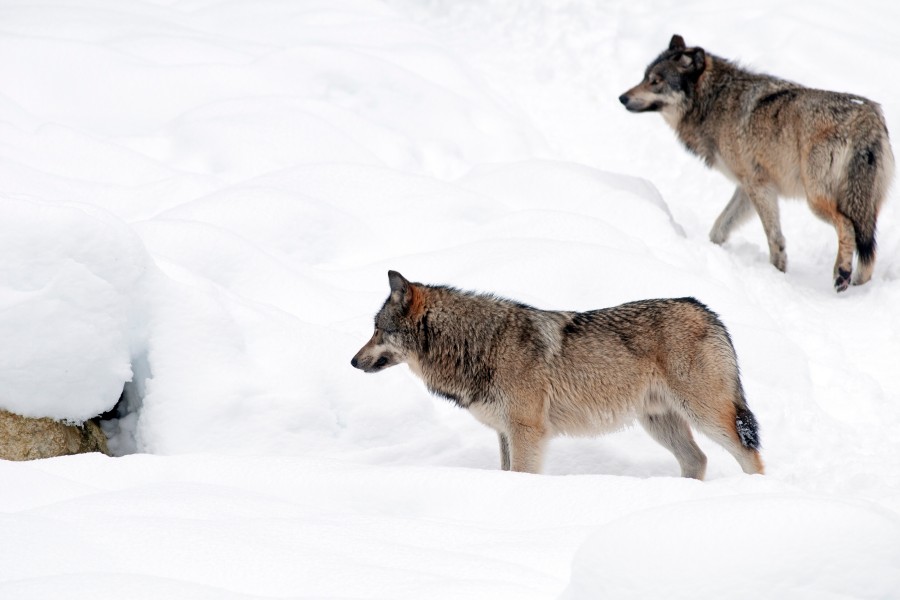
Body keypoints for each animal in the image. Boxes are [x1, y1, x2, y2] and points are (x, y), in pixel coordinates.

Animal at [352, 272, 768, 478]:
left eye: (377, 330)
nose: (353, 362)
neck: (481, 343)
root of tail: (706, 310)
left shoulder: (527, 431)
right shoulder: (505, 433)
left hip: (706, 416)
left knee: (750, 455)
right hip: (660, 423)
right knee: (697, 461)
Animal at [620, 35, 892, 292]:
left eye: (656, 81)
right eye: (645, 77)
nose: (622, 97)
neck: (714, 100)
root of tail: (867, 120)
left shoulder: (758, 186)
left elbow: (774, 238)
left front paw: (777, 273)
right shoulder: (747, 188)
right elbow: (719, 229)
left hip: (817, 200)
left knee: (847, 227)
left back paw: (842, 273)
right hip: (864, 207)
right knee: (868, 249)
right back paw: (859, 286)